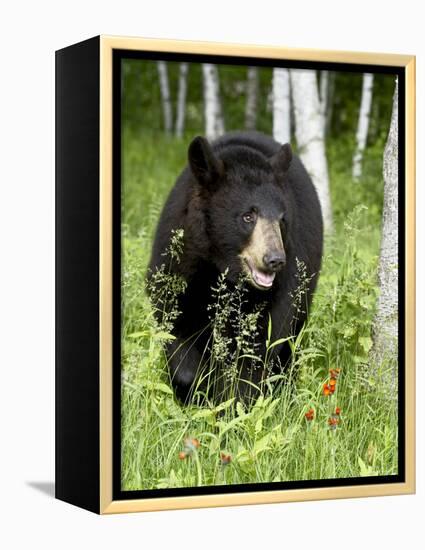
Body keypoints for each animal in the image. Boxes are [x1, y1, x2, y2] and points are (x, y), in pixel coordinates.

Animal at [147, 131, 322, 404]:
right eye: (248, 216)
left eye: (281, 220)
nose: (275, 259)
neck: (221, 269)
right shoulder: (180, 265)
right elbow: (175, 323)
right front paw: (193, 388)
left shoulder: (281, 289)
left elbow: (257, 349)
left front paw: (233, 402)